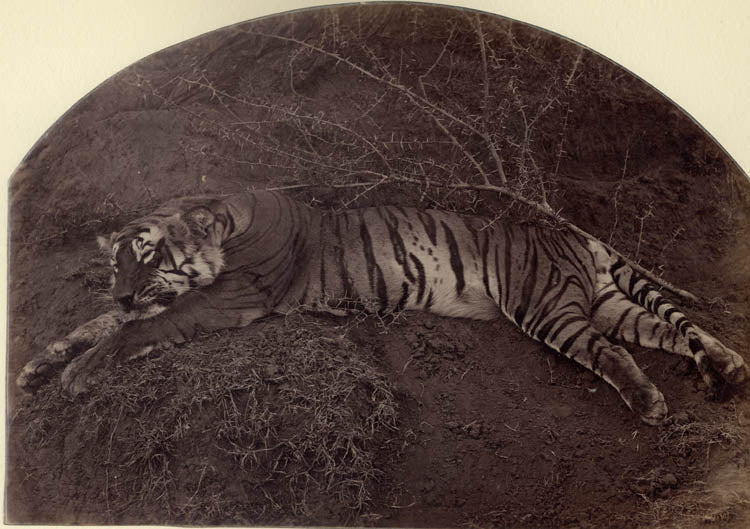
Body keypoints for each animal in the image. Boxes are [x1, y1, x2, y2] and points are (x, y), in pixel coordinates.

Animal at [16, 190, 747, 424]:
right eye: (115, 263)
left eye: (147, 256)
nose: (123, 288)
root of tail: (573, 231)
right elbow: (95, 325)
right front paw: (36, 368)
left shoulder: (225, 301)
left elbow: (135, 329)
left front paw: (79, 374)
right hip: (608, 301)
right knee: (675, 332)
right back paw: (729, 369)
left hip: (550, 306)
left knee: (610, 351)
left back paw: (649, 402)